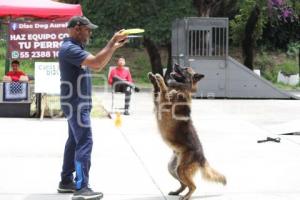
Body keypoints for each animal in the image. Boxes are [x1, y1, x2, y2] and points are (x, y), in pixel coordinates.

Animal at [148, 64, 227, 200]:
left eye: (185, 69)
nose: (175, 65)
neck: (180, 89)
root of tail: (202, 158)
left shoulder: (164, 103)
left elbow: (163, 90)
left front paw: (160, 79)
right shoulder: (158, 102)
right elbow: (157, 90)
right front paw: (153, 78)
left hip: (180, 169)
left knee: (193, 186)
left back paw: (186, 196)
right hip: (172, 168)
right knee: (185, 185)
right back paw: (177, 192)